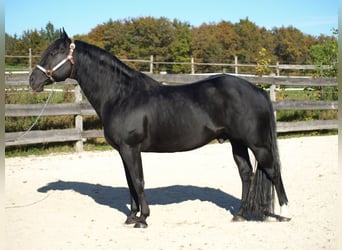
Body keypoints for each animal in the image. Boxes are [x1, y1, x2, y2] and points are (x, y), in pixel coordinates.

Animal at [30, 30, 292, 228]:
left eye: (53, 53)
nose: (32, 80)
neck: (122, 95)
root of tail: (257, 90)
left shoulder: (131, 149)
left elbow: (138, 181)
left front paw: (143, 219)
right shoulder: (124, 151)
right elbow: (130, 183)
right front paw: (131, 216)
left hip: (258, 144)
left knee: (273, 171)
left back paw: (285, 212)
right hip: (237, 143)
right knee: (246, 174)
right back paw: (239, 214)